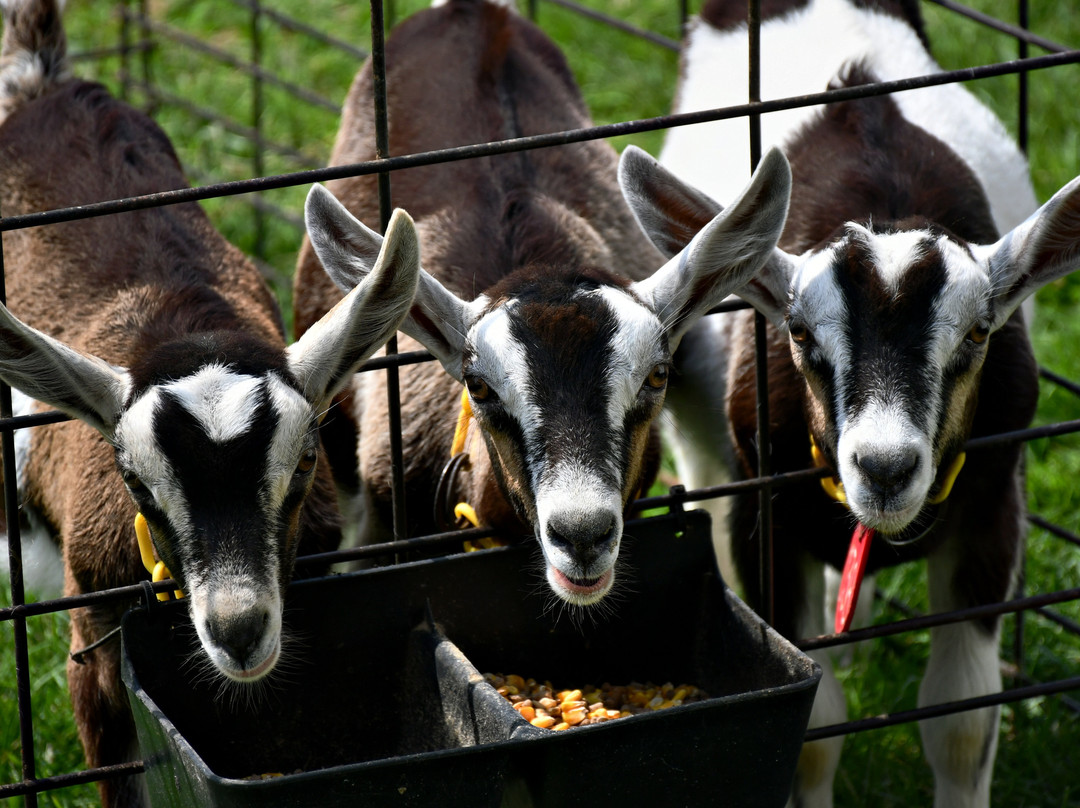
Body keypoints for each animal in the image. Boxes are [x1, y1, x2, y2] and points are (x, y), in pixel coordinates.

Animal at [0, 1, 419, 804]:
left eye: (304, 462)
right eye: (135, 483)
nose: (239, 631)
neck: (176, 319)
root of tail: (42, 83)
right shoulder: (91, 635)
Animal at [619, 0, 1080, 805]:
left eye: (978, 334)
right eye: (799, 334)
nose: (886, 468)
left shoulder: (994, 502)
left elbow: (963, 718)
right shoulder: (766, 513)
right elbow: (812, 723)